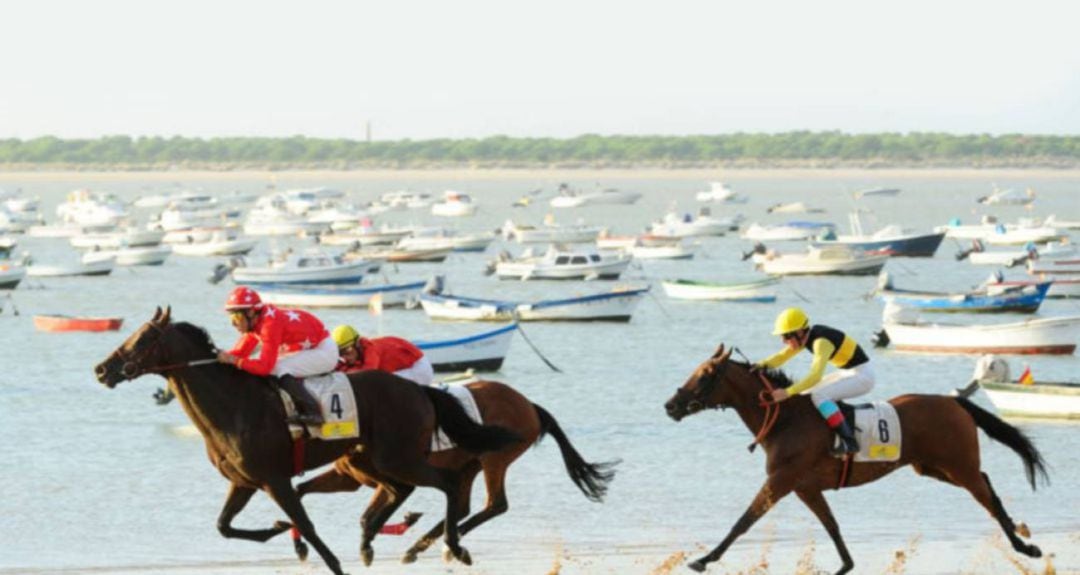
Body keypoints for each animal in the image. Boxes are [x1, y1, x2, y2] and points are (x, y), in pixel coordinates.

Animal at [90, 309, 520, 575]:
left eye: (142, 338)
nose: (101, 369)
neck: (232, 404)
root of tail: (419, 389)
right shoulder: (245, 481)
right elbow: (224, 526)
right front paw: (276, 530)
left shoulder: (274, 479)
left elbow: (307, 524)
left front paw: (329, 561)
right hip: (374, 459)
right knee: (402, 491)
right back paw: (374, 542)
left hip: (398, 457)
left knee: (447, 485)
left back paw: (452, 546)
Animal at [293, 380, 617, 562]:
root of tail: (529, 404)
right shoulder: (349, 477)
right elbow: (303, 491)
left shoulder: (394, 476)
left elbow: (370, 516)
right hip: (469, 464)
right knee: (462, 506)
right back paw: (426, 545)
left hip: (493, 458)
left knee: (495, 504)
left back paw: (446, 543)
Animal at [660, 343, 1049, 570]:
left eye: (705, 375)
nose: (670, 405)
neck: (785, 420)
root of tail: (954, 401)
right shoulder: (805, 487)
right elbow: (832, 526)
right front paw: (845, 564)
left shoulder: (781, 481)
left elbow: (744, 521)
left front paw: (704, 559)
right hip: (933, 467)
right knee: (986, 482)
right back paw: (1020, 532)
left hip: (958, 465)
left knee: (986, 497)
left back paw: (1024, 546)